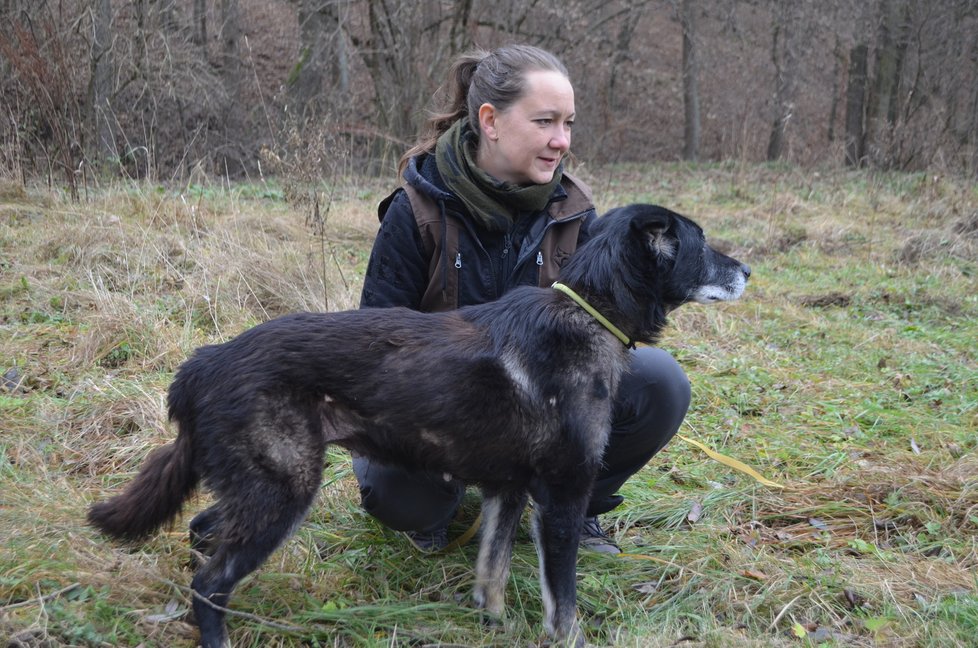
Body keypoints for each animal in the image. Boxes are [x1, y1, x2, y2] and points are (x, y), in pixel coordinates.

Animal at [89, 205, 748, 644]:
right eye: (702, 243)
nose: (748, 271)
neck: (588, 310)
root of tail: (203, 364)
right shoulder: (560, 499)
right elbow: (563, 606)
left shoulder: (508, 492)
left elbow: (491, 574)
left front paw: (490, 622)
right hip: (283, 492)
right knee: (210, 582)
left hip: (261, 487)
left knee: (203, 534)